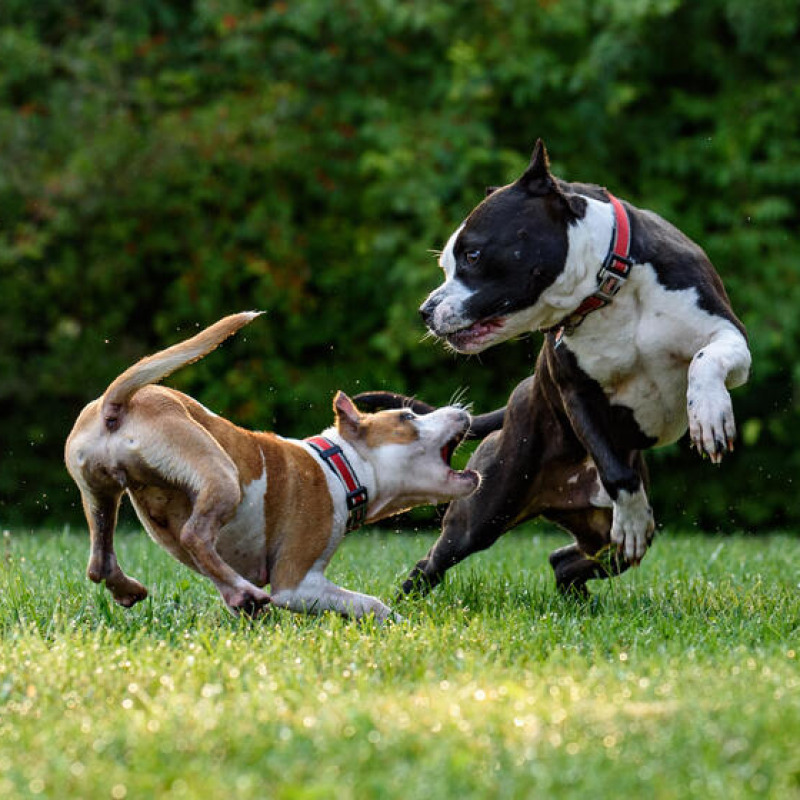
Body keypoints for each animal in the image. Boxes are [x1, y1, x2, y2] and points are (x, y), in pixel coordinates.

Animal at [65, 310, 478, 620]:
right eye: (407, 417)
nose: (461, 409)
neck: (340, 465)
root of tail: (116, 405)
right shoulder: (296, 584)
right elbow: (370, 604)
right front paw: (398, 625)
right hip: (220, 474)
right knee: (194, 535)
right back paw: (242, 591)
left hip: (99, 493)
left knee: (100, 561)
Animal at [356, 141, 752, 596]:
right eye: (446, 266)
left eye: (472, 255)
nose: (425, 310)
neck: (609, 288)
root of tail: (517, 397)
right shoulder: (575, 392)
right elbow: (615, 471)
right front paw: (633, 516)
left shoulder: (728, 334)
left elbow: (705, 361)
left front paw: (709, 414)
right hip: (484, 510)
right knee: (434, 562)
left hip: (599, 537)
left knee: (565, 561)